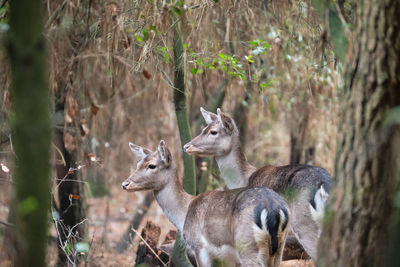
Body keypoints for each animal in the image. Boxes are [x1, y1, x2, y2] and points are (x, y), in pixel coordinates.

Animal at [120, 141, 290, 266]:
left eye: (152, 165)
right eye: (138, 164)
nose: (125, 184)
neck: (184, 213)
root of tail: (273, 209)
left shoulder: (199, 247)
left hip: (248, 246)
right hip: (279, 249)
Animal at [183, 108, 330, 260]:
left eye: (213, 131)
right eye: (203, 129)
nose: (186, 146)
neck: (245, 179)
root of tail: (324, 187)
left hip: (304, 223)